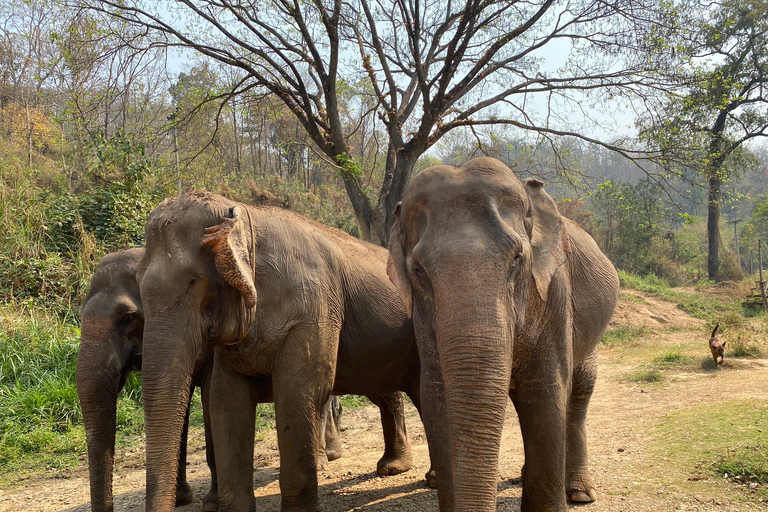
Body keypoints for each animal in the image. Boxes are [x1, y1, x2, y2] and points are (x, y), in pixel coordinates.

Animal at [75, 248, 344, 512]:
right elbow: (179, 407)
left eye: (128, 317)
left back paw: (323, 460)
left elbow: (210, 402)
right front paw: (180, 499)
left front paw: (212, 503)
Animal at [134, 192, 420, 512]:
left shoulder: (314, 310)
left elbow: (298, 394)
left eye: (193, 281)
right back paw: (396, 467)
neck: (246, 215)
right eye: (138, 282)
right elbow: (225, 400)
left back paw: (397, 470)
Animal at [388, 157, 620, 512]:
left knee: (580, 389)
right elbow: (436, 396)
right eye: (418, 271)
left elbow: (546, 391)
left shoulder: (554, 291)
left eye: (516, 259)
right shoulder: (422, 319)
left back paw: (580, 493)